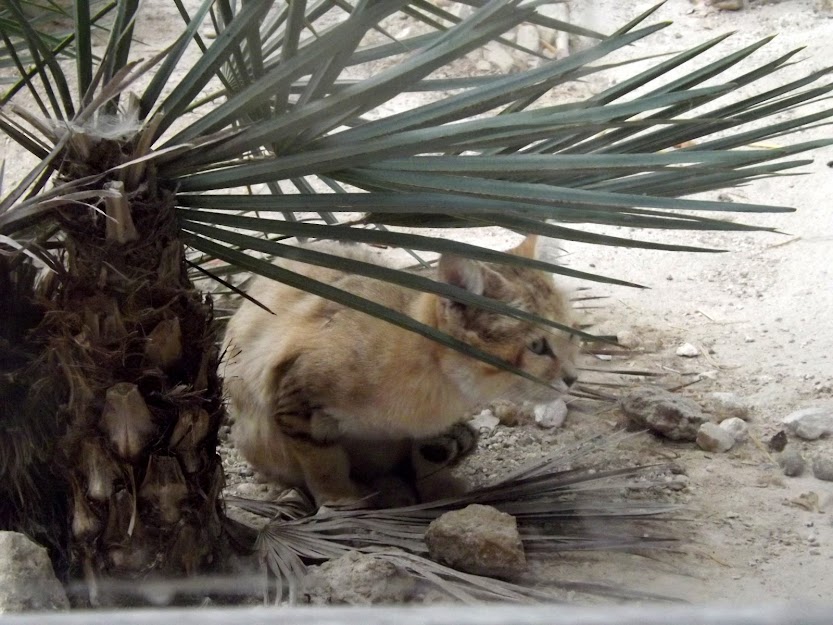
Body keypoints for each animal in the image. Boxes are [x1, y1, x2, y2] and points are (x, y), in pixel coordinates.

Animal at [221, 235, 580, 508]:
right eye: (537, 347)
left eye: (573, 334)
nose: (573, 377)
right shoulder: (296, 401)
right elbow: (324, 463)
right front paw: (340, 499)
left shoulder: (430, 428)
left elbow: (427, 459)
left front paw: (439, 492)